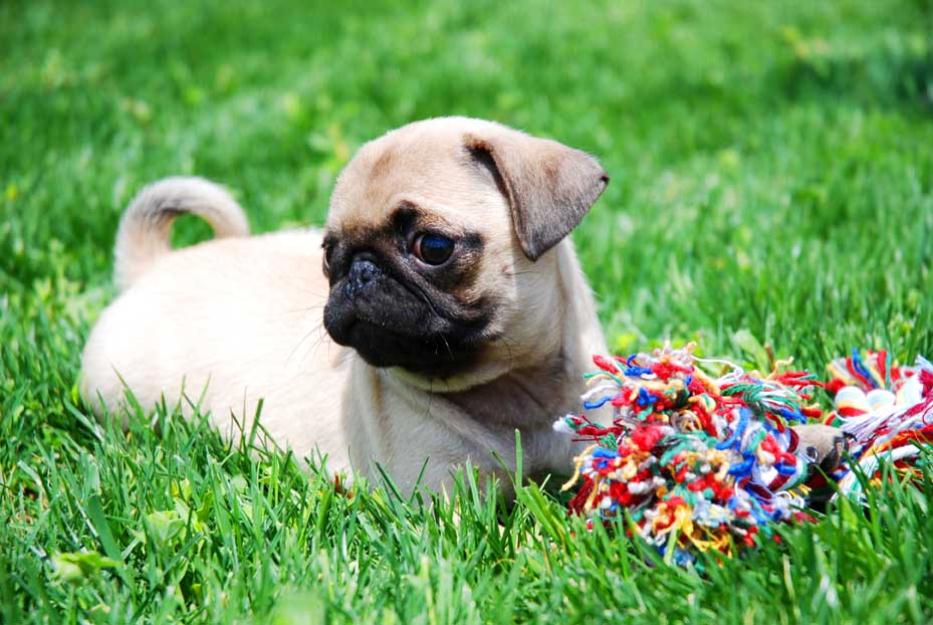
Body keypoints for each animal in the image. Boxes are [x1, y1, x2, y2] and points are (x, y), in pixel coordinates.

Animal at [82, 117, 612, 492]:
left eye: (433, 246)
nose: (359, 272)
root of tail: (153, 266)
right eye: (328, 254)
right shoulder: (442, 500)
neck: (514, 388)